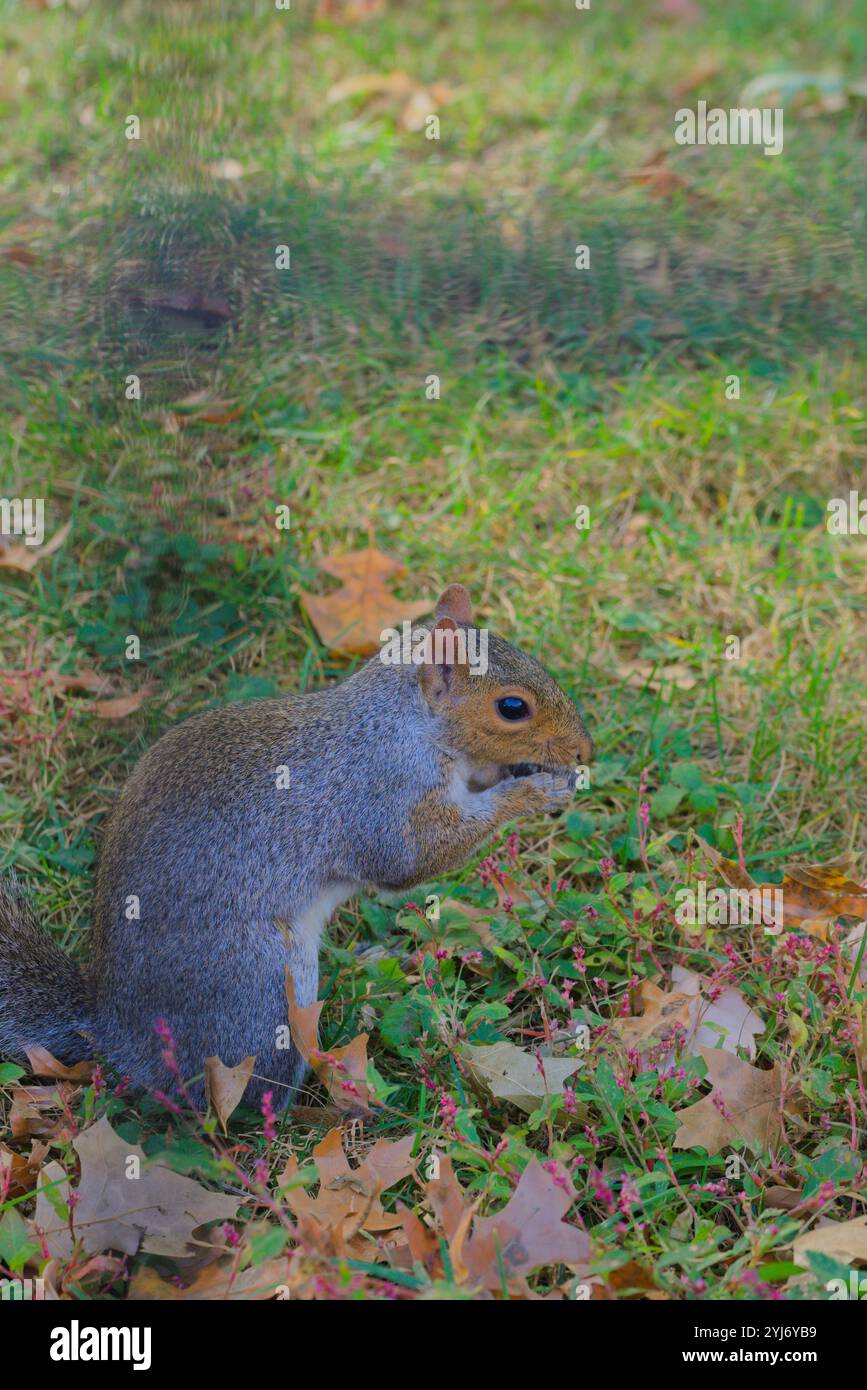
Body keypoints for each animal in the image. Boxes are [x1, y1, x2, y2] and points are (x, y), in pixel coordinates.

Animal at [0, 584, 591, 1108]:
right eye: (511, 707)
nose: (585, 749)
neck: (407, 726)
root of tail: (116, 1035)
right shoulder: (379, 795)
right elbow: (411, 860)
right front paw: (536, 791)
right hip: (261, 990)